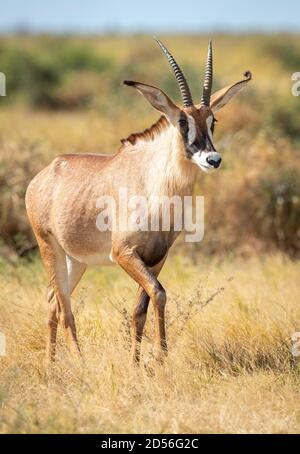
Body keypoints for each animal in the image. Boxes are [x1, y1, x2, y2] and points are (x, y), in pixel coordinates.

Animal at [25, 38, 251, 366]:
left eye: (213, 120)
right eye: (182, 122)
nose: (213, 159)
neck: (153, 185)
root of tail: (43, 175)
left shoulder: (157, 258)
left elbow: (139, 309)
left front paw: (136, 363)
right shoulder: (124, 254)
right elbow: (159, 294)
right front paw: (160, 357)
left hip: (76, 260)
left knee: (53, 299)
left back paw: (51, 364)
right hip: (48, 247)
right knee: (65, 308)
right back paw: (79, 362)